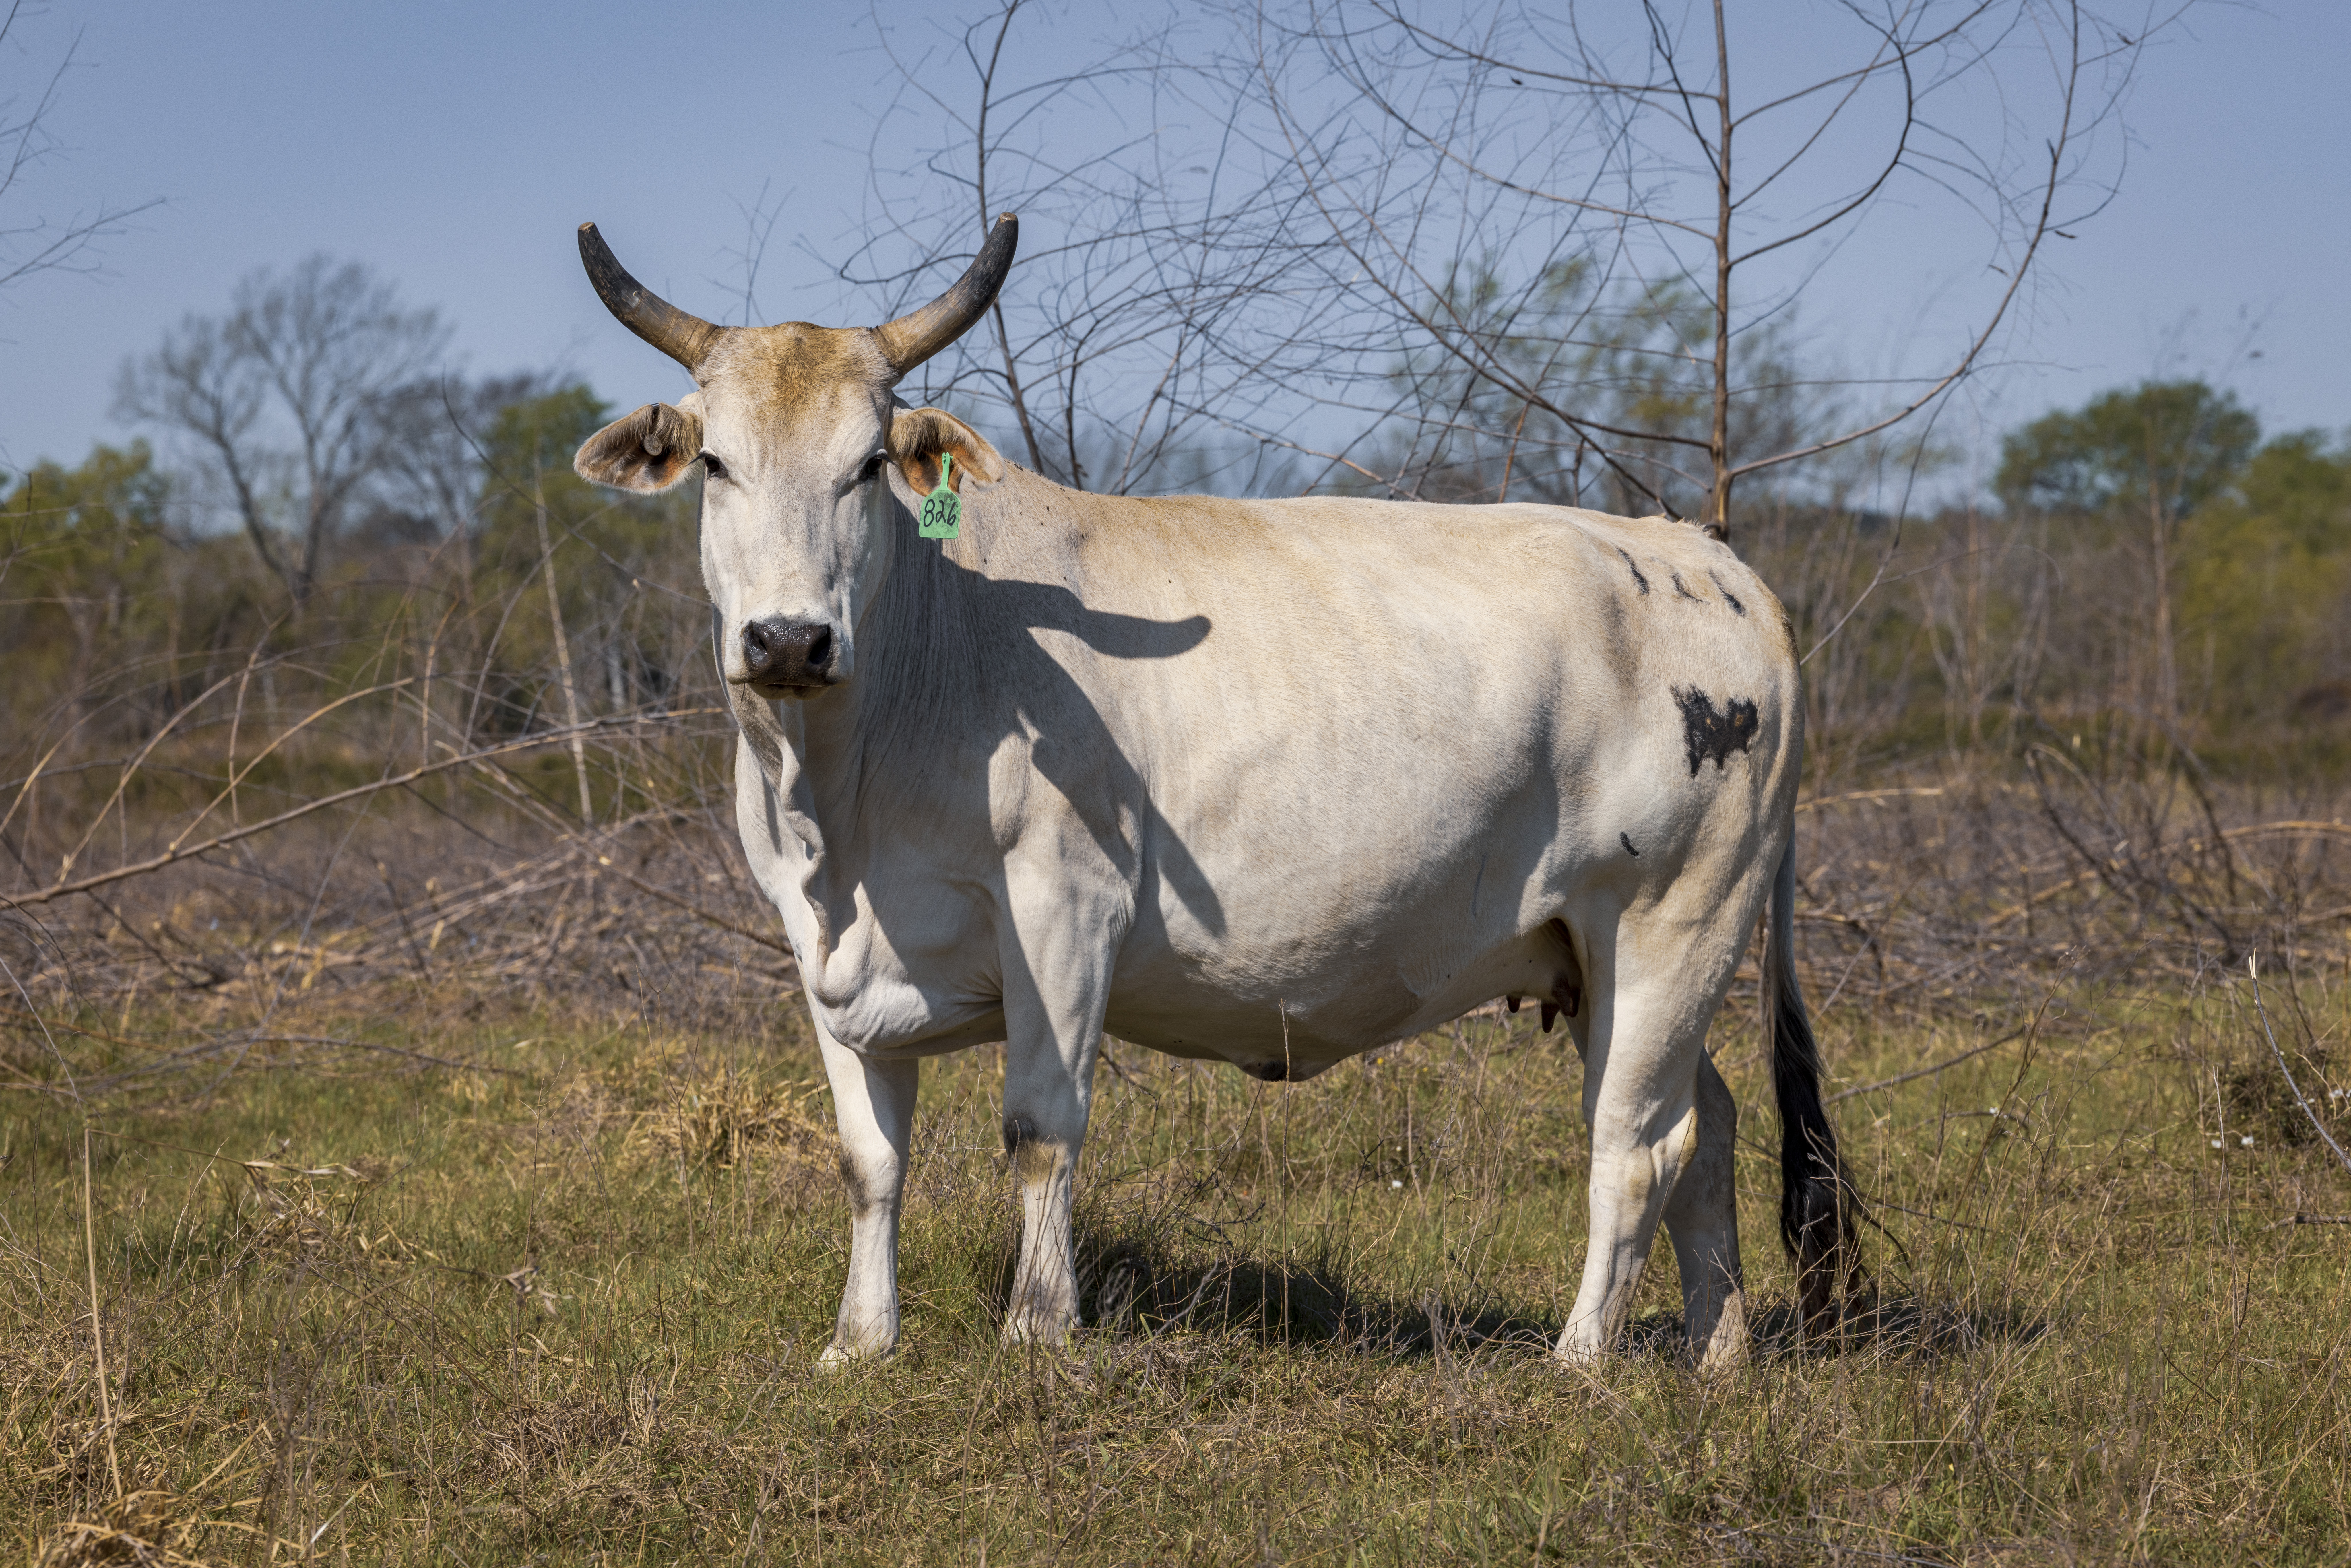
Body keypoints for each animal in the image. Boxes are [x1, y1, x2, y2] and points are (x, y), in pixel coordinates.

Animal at [570, 213, 1859, 1369]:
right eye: (718, 463)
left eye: (868, 465)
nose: (790, 639)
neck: (849, 786)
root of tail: (1706, 559)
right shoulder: (822, 951)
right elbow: (869, 1159)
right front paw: (860, 1343)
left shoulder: (1064, 907)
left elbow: (1039, 1131)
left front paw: (1037, 1331)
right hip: (1593, 954)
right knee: (1707, 1128)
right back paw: (1714, 1351)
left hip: (1671, 923)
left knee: (1636, 1142)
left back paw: (1581, 1356)